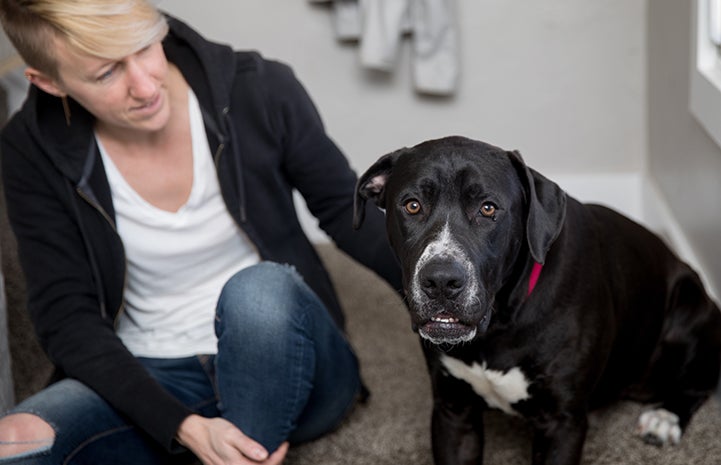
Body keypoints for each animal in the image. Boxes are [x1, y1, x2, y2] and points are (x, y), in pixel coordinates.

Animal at [352, 135, 720, 464]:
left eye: (488, 208)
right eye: (412, 205)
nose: (441, 280)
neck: (500, 322)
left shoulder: (561, 425)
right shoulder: (453, 412)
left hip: (689, 311)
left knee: (699, 382)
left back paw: (665, 419)